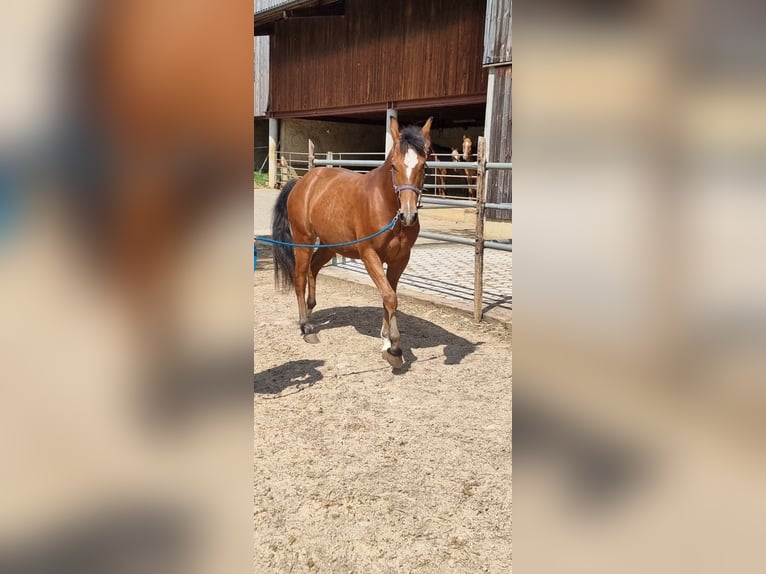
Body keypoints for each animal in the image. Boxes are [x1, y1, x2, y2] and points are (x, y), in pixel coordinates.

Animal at [270, 117, 432, 368]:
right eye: (394, 166)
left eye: (423, 167)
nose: (408, 215)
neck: (384, 204)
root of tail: (302, 182)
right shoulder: (370, 255)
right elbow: (389, 296)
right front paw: (394, 348)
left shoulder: (400, 259)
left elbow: (389, 296)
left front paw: (386, 340)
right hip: (303, 240)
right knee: (300, 278)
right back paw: (306, 327)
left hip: (330, 245)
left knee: (313, 270)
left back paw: (310, 312)